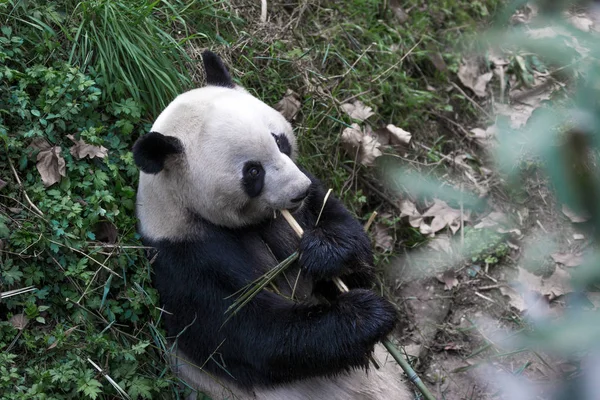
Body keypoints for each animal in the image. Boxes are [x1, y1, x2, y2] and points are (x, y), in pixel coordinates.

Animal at [131, 50, 412, 400]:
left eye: (279, 141)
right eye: (253, 171)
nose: (299, 191)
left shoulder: (309, 200)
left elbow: (343, 237)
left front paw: (327, 251)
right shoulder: (185, 259)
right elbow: (249, 335)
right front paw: (366, 315)